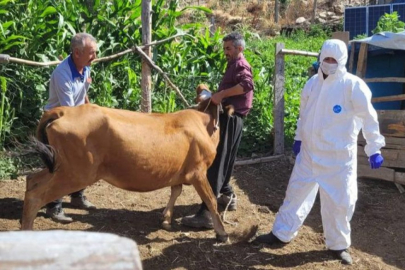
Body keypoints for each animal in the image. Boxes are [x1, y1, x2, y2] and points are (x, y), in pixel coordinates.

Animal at [22, 85, 229, 242]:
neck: (203, 124)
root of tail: (63, 110)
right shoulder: (197, 171)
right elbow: (211, 199)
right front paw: (221, 233)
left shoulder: (178, 170)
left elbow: (175, 191)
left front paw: (166, 219)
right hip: (77, 172)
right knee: (36, 195)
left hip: (61, 166)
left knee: (32, 179)